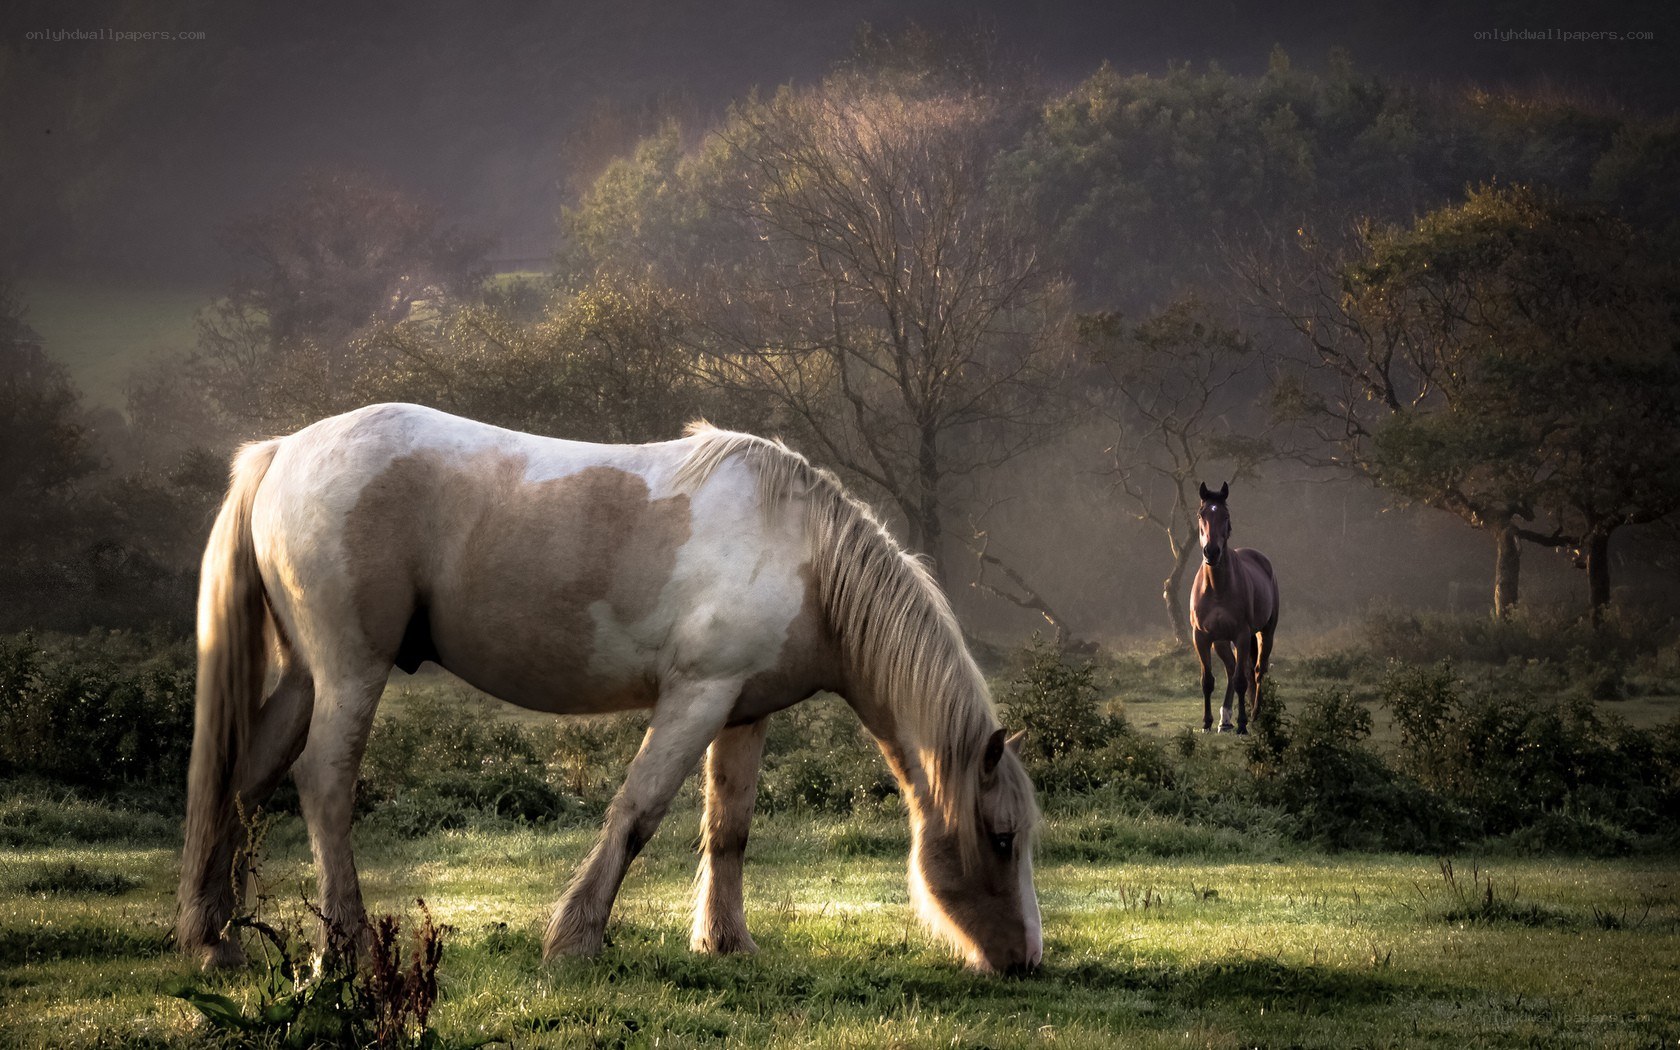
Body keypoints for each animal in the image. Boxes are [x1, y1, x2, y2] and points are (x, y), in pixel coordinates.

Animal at [176, 403, 1042, 973]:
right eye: (1001, 838)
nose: (1025, 959)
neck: (804, 557)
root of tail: (283, 451)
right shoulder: (695, 698)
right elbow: (637, 814)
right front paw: (575, 941)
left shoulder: (744, 712)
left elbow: (728, 830)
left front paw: (727, 943)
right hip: (351, 670)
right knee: (323, 785)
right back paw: (345, 948)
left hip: (305, 677)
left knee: (245, 780)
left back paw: (214, 938)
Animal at [1188, 482, 1279, 734]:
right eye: (1201, 514)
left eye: (1226, 515)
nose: (1211, 551)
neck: (1217, 588)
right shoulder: (1201, 637)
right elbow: (1207, 681)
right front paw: (1207, 723)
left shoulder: (1241, 634)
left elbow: (1241, 680)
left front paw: (1243, 725)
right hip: (1220, 641)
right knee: (1231, 669)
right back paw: (1225, 719)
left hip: (1264, 633)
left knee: (1256, 671)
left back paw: (1255, 715)